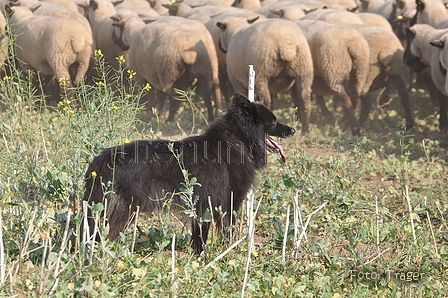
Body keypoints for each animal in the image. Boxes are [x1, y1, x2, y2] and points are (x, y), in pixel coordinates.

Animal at [82, 92, 296, 253]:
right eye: (274, 122)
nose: (293, 130)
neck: (237, 140)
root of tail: (102, 158)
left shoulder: (204, 206)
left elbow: (200, 236)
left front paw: (199, 256)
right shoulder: (227, 203)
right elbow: (227, 232)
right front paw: (231, 253)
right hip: (122, 209)